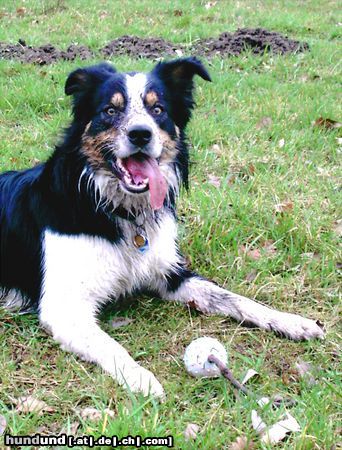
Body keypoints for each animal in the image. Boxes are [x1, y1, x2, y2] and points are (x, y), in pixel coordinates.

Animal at [0, 59, 324, 398]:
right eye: (110, 110)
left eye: (158, 110)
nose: (140, 134)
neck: (117, 210)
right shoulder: (64, 307)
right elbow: (110, 345)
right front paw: (141, 378)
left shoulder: (170, 275)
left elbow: (234, 298)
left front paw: (290, 321)